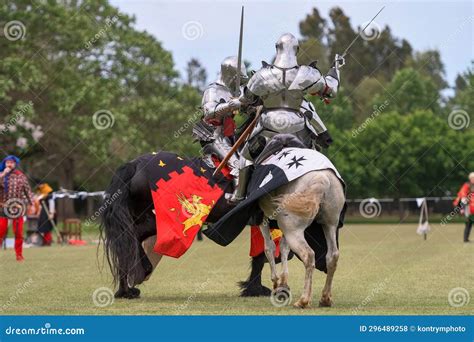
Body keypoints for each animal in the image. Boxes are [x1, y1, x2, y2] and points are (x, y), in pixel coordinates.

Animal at [99, 154, 270, 300]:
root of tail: (134, 165)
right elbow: (262, 253)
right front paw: (255, 289)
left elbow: (260, 252)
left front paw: (254, 288)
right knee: (130, 239)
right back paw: (138, 277)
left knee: (126, 242)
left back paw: (126, 290)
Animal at [260, 170, 344, 308]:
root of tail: (322, 178)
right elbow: (283, 247)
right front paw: (283, 285)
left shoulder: (262, 218)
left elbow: (269, 247)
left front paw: (277, 283)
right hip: (329, 225)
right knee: (333, 255)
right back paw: (325, 299)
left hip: (292, 229)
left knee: (308, 255)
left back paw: (303, 300)